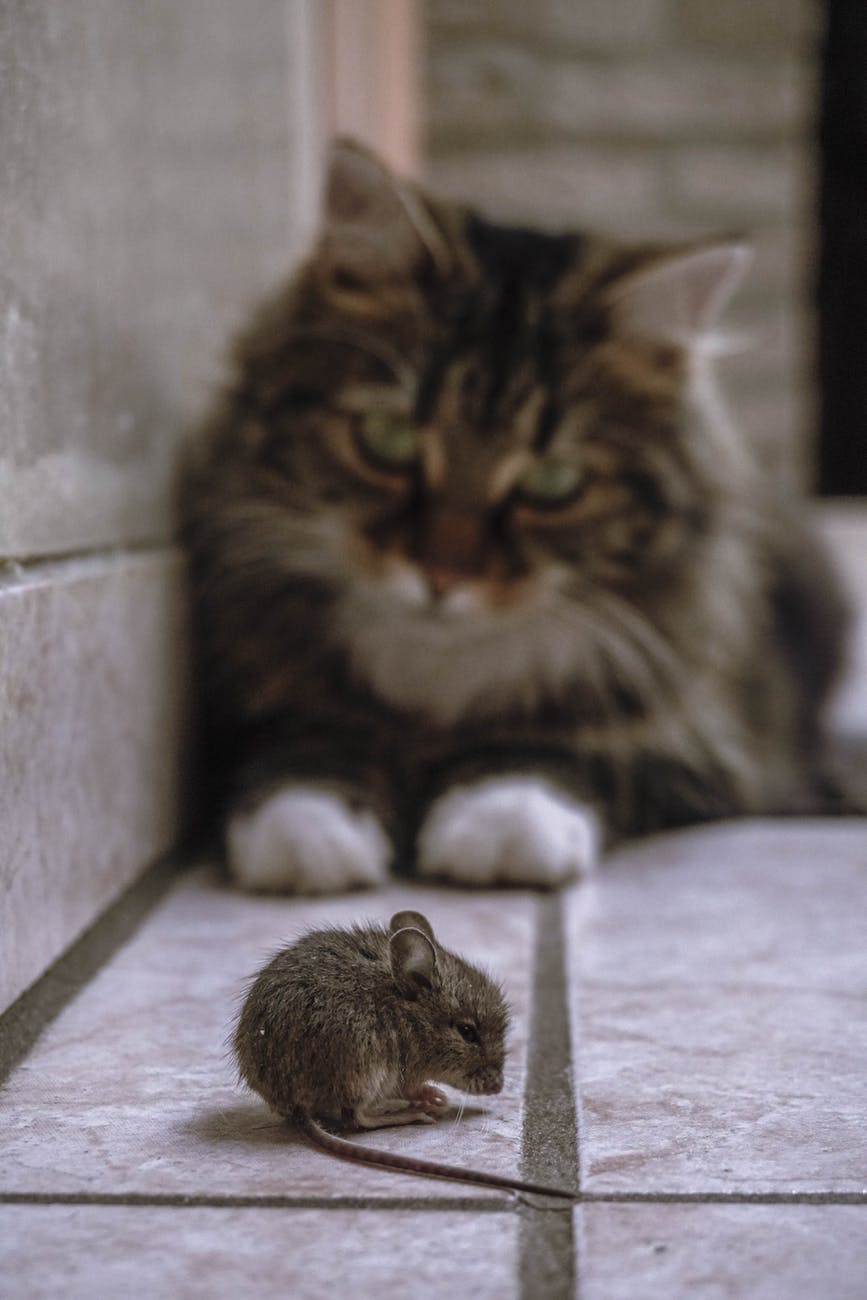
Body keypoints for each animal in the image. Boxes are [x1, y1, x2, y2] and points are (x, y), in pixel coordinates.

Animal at [179, 139, 852, 894]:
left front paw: (501, 822)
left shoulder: (707, 746)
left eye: (553, 482)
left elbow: (555, 749)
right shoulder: (249, 701)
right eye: (387, 440)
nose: (441, 577)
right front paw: (309, 829)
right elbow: (302, 742)